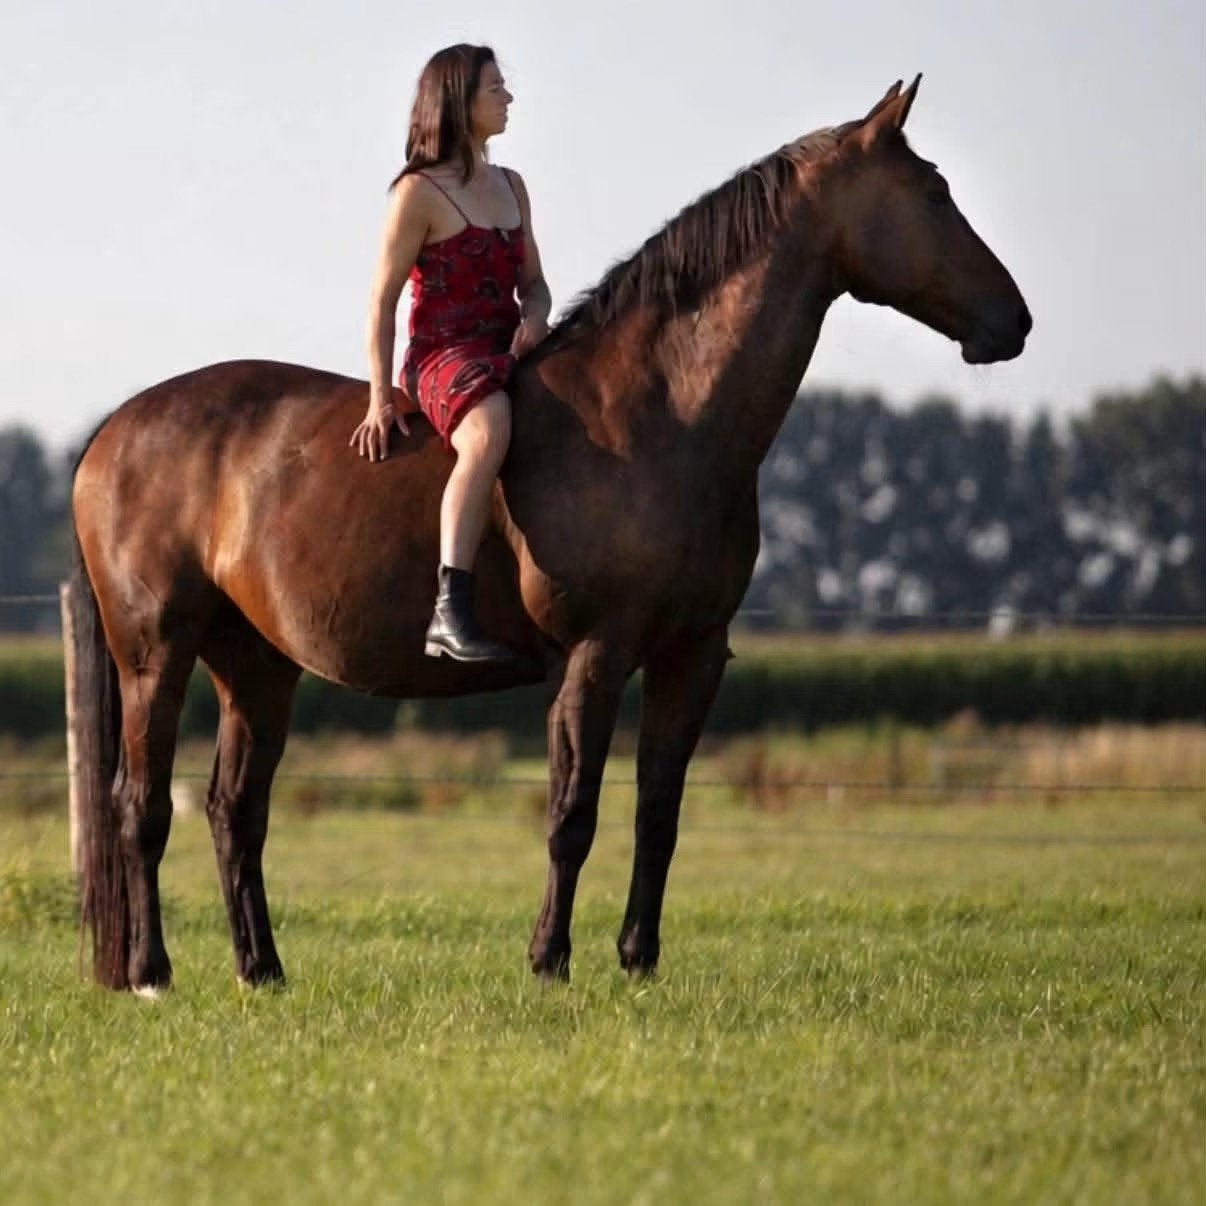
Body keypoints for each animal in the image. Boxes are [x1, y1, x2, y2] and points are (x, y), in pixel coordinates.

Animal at [71, 77, 1030, 994]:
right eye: (934, 192)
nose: (1014, 321)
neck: (661, 414)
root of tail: (112, 433)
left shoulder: (692, 658)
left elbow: (658, 814)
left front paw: (638, 959)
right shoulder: (593, 657)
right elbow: (572, 815)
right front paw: (549, 960)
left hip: (257, 665)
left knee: (235, 812)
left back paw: (261, 971)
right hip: (156, 655)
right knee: (139, 807)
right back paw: (152, 972)